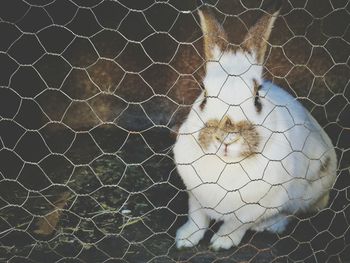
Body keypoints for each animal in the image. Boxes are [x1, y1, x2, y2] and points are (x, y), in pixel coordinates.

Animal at [174, 3, 338, 252]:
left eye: (257, 98)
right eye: (204, 94)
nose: (227, 138)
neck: (228, 165)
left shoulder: (255, 207)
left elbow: (236, 225)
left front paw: (221, 242)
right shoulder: (195, 195)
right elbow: (197, 218)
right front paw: (184, 239)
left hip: (309, 190)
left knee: (292, 213)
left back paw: (269, 226)